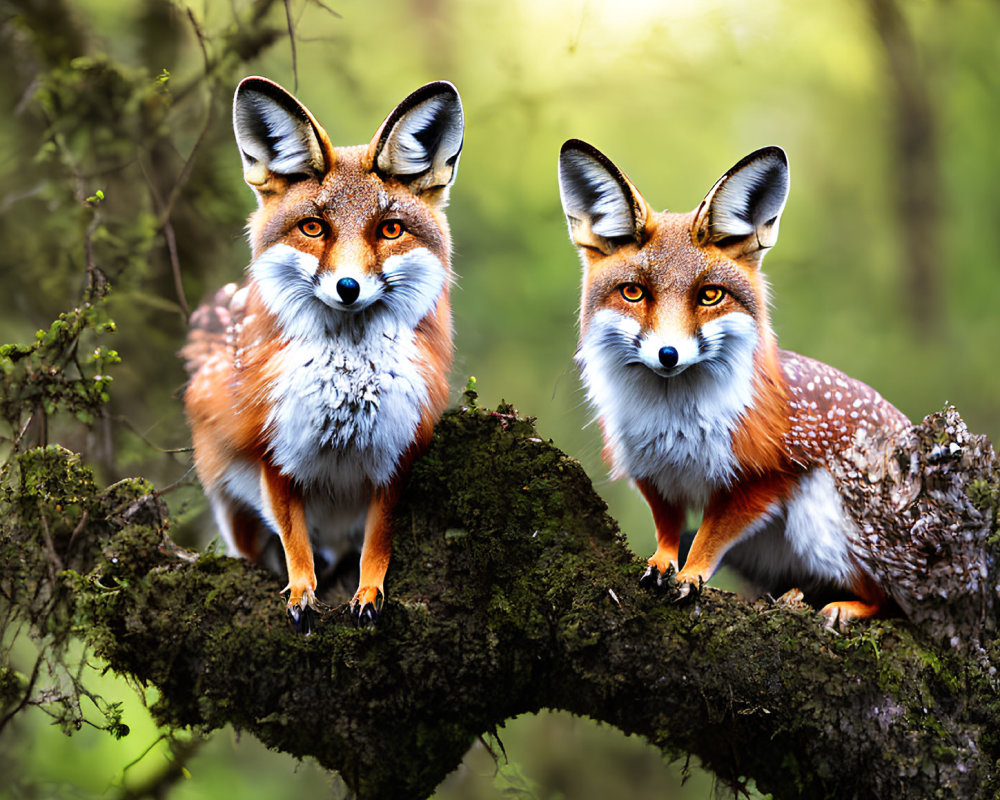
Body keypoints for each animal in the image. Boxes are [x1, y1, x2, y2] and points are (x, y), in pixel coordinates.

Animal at [183, 78, 464, 628]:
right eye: (313, 228)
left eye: (389, 229)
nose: (348, 288)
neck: (347, 394)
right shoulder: (274, 452)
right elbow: (295, 539)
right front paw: (301, 591)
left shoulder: (397, 453)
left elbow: (378, 541)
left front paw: (369, 591)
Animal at [560, 139, 912, 624]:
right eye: (634, 292)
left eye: (710, 295)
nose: (668, 355)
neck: (674, 423)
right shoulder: (651, 472)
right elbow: (669, 530)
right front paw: (664, 562)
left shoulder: (762, 480)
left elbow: (710, 537)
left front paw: (691, 574)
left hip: (817, 525)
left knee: (890, 602)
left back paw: (840, 607)